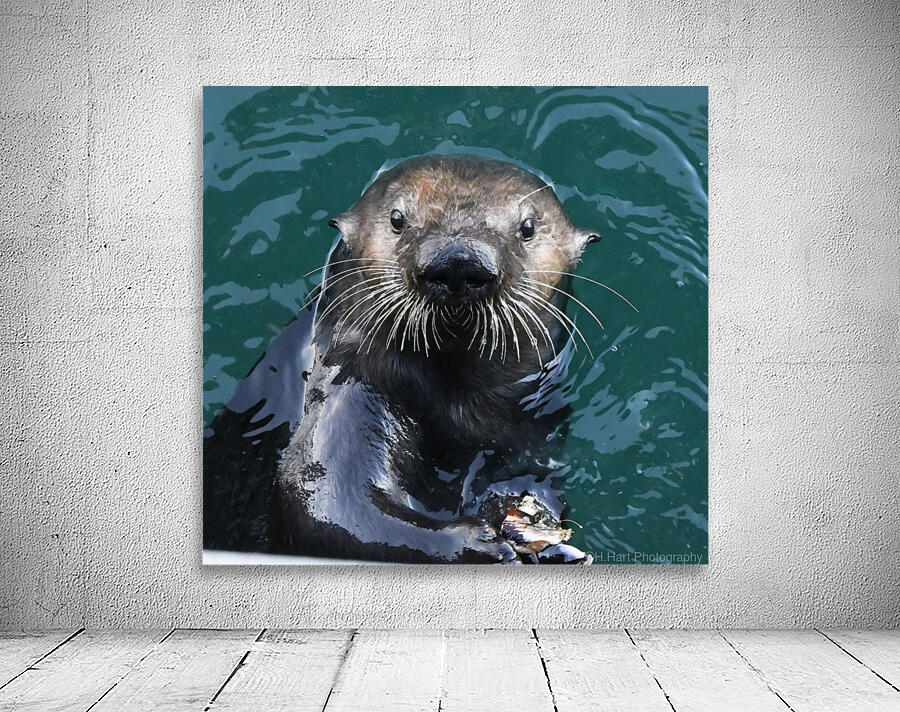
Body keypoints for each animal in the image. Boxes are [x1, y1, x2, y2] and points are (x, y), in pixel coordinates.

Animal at [263, 155, 602, 563]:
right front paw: (482, 543)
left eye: (528, 227)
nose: (459, 260)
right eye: (397, 219)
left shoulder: (535, 425)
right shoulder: (348, 391)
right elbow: (328, 505)